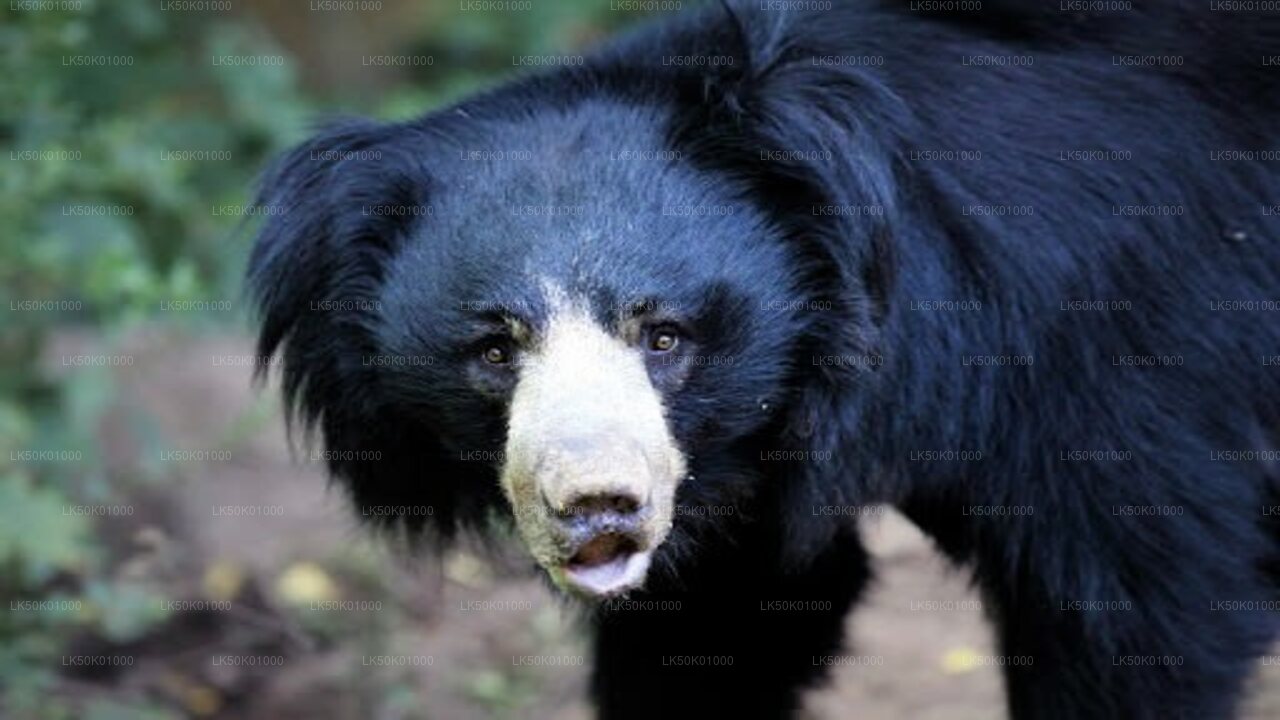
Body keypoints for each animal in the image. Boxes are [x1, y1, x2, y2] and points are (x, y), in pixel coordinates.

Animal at [247, 1, 1280, 718]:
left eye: (664, 335)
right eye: (496, 349)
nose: (597, 508)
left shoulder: (1116, 351)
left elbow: (1137, 611)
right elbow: (720, 633)